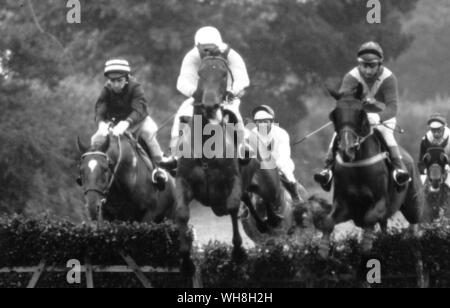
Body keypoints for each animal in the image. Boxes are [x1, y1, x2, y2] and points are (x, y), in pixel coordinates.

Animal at [314, 85, 424, 258]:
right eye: (334, 115)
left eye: (361, 114)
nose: (346, 150)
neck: (357, 166)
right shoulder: (344, 205)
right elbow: (327, 222)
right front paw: (323, 253)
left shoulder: (380, 203)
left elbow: (369, 220)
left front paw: (366, 249)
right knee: (386, 229)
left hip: (414, 205)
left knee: (415, 227)